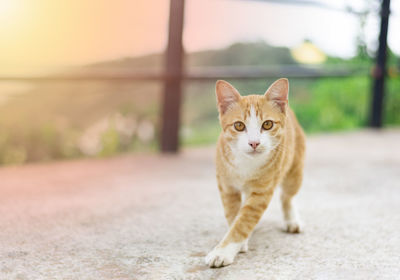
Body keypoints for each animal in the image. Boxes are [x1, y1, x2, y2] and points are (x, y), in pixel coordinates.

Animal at [206, 78, 306, 266]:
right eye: (239, 125)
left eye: (267, 124)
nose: (254, 143)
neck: (246, 164)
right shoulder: (227, 187)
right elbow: (233, 215)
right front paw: (239, 240)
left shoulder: (261, 193)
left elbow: (243, 221)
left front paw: (224, 250)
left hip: (294, 172)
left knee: (287, 196)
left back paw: (291, 219)